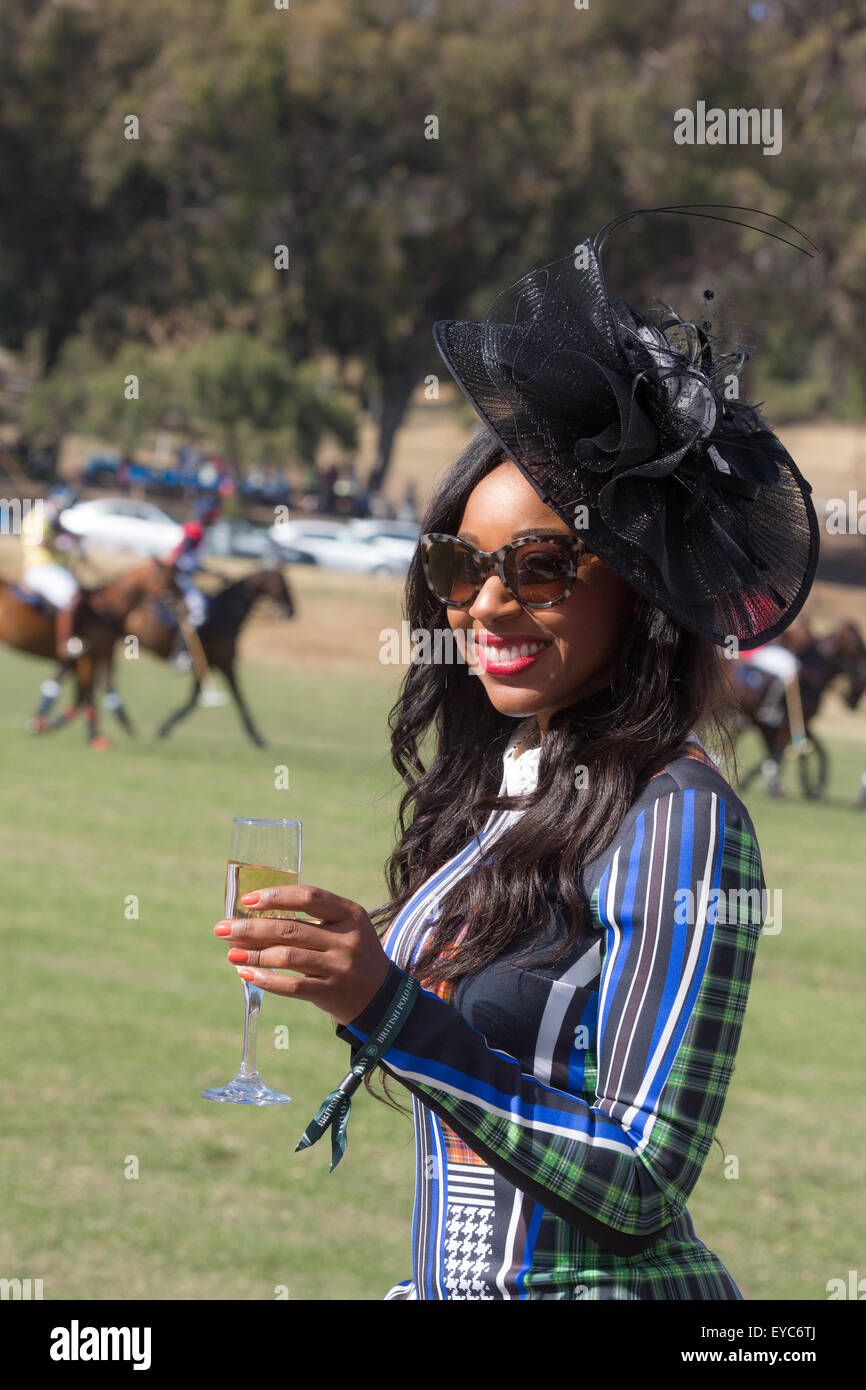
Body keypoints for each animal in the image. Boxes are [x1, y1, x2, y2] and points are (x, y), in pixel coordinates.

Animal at [0, 556, 170, 745]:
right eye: (168, 579)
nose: (171, 604)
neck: (108, 607)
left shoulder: (97, 655)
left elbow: (82, 691)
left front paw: (42, 724)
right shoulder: (88, 656)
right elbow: (87, 692)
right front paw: (95, 736)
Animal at [722, 622, 866, 800]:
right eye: (855, 641)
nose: (854, 701)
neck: (813, 675)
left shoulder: (797, 723)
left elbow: (815, 750)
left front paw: (812, 787)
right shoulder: (787, 723)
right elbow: (781, 754)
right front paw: (779, 787)